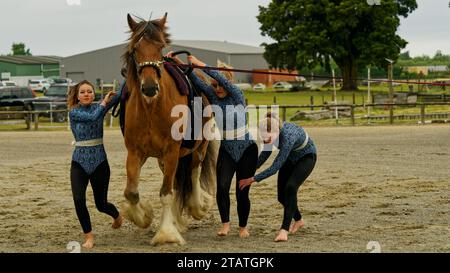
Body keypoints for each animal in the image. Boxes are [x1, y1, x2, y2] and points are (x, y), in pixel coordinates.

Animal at [119, 12, 218, 244]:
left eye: (160, 47)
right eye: (135, 49)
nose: (149, 87)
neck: (151, 109)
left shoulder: (171, 151)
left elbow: (166, 193)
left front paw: (166, 234)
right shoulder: (135, 153)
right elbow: (131, 192)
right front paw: (144, 216)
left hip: (198, 147)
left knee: (194, 170)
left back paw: (198, 205)